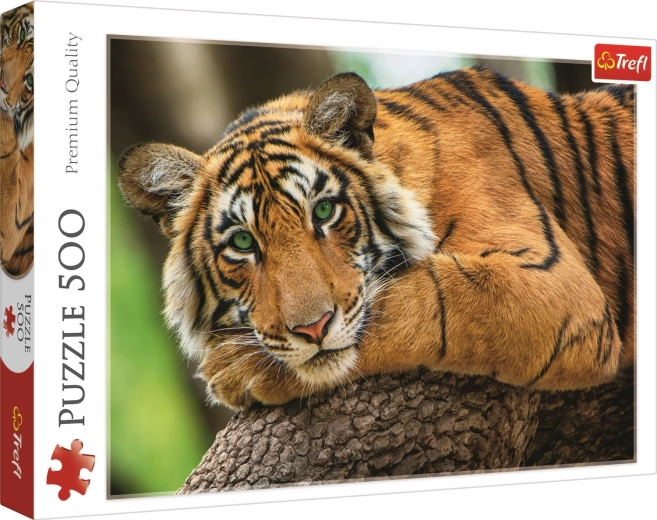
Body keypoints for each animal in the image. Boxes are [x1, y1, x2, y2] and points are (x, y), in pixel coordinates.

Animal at [118, 66, 635, 410]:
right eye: (243, 244)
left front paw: (235, 369)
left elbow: (423, 298)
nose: (312, 329)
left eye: (324, 211)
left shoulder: (554, 284)